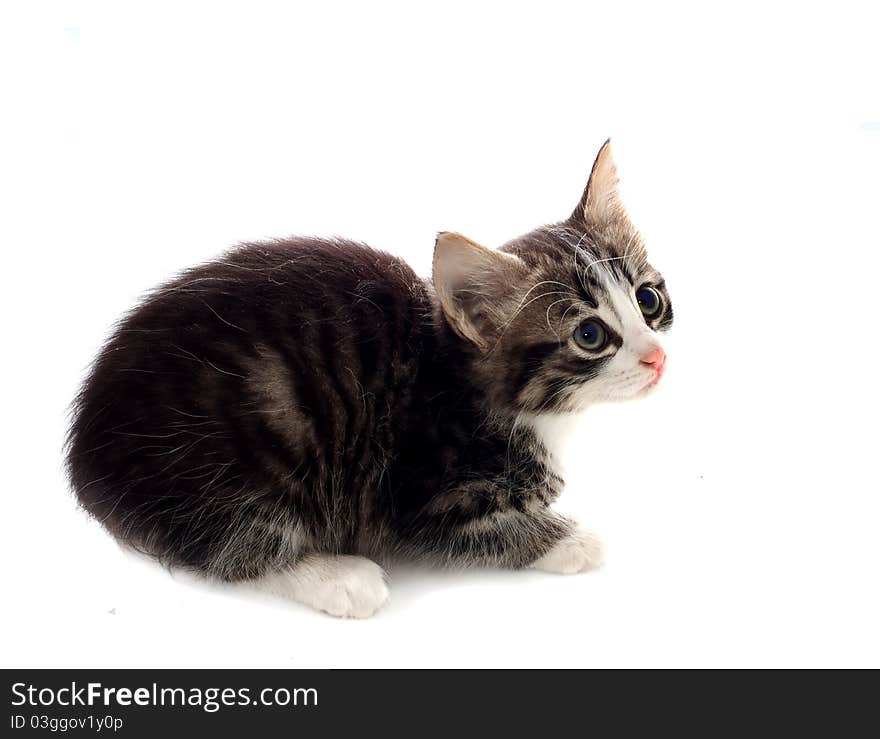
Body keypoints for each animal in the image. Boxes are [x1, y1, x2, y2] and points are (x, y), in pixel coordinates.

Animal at [67, 140, 672, 620]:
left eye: (648, 300)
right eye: (590, 335)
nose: (657, 358)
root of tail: (87, 455)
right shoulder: (419, 496)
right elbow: (494, 532)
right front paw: (575, 539)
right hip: (246, 444)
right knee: (233, 545)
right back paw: (339, 578)